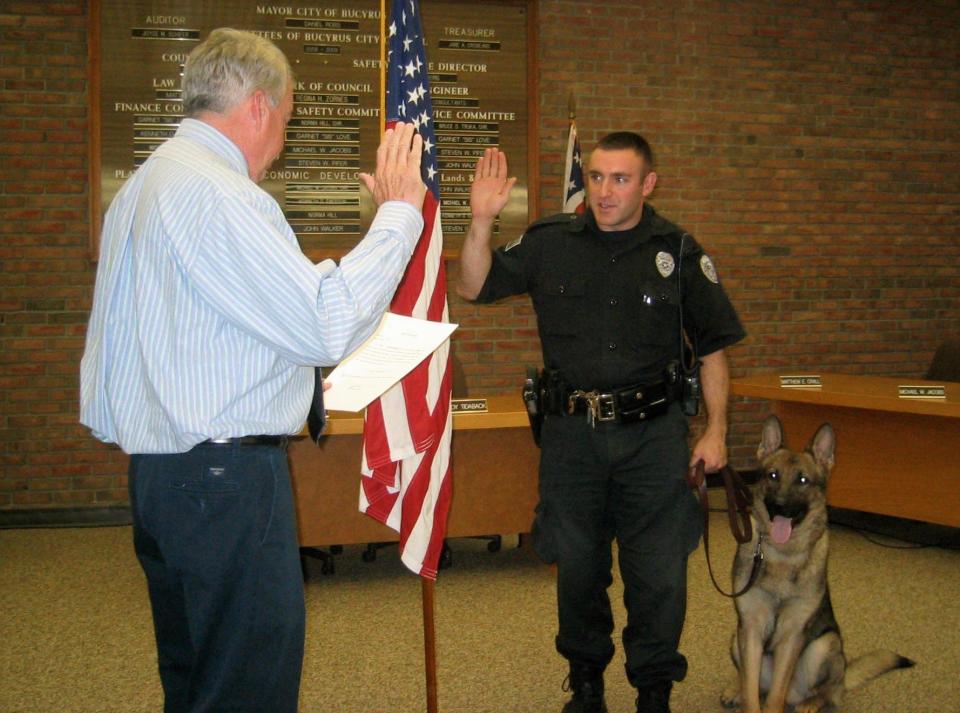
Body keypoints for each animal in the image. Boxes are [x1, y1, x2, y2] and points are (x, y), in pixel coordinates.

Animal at [720, 414, 916, 708]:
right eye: (773, 475)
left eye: (803, 480)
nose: (779, 506)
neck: (782, 555)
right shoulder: (751, 628)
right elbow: (752, 693)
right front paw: (745, 697)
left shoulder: (793, 636)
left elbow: (775, 697)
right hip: (737, 638)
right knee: (751, 682)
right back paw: (737, 690)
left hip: (824, 646)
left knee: (830, 692)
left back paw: (808, 705)